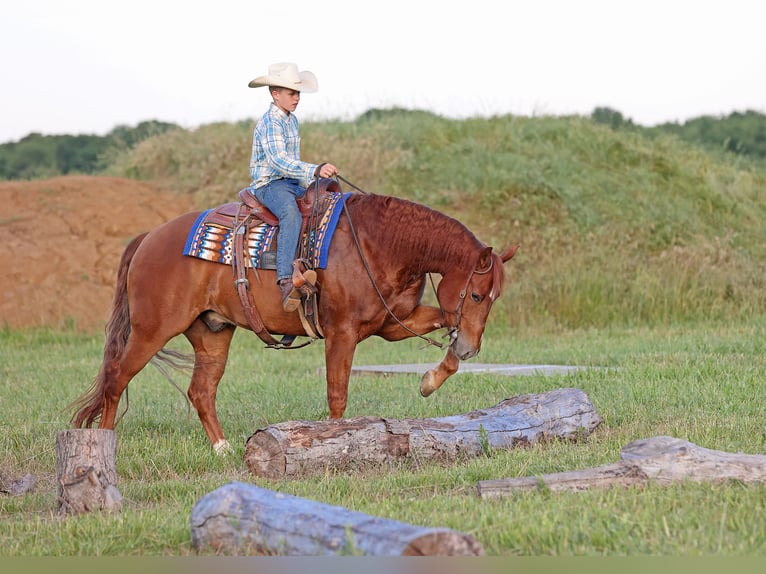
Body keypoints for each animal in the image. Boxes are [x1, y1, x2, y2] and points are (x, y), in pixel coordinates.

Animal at [70, 194, 520, 454]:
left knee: (200, 392)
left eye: (494, 298)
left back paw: (223, 448)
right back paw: (103, 444)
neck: (377, 244)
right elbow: (337, 393)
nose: (471, 348)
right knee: (116, 377)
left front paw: (431, 378)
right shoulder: (342, 333)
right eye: (476, 295)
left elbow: (441, 322)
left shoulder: (391, 323)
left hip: (212, 332)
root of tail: (148, 238)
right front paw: (335, 443)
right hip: (151, 330)